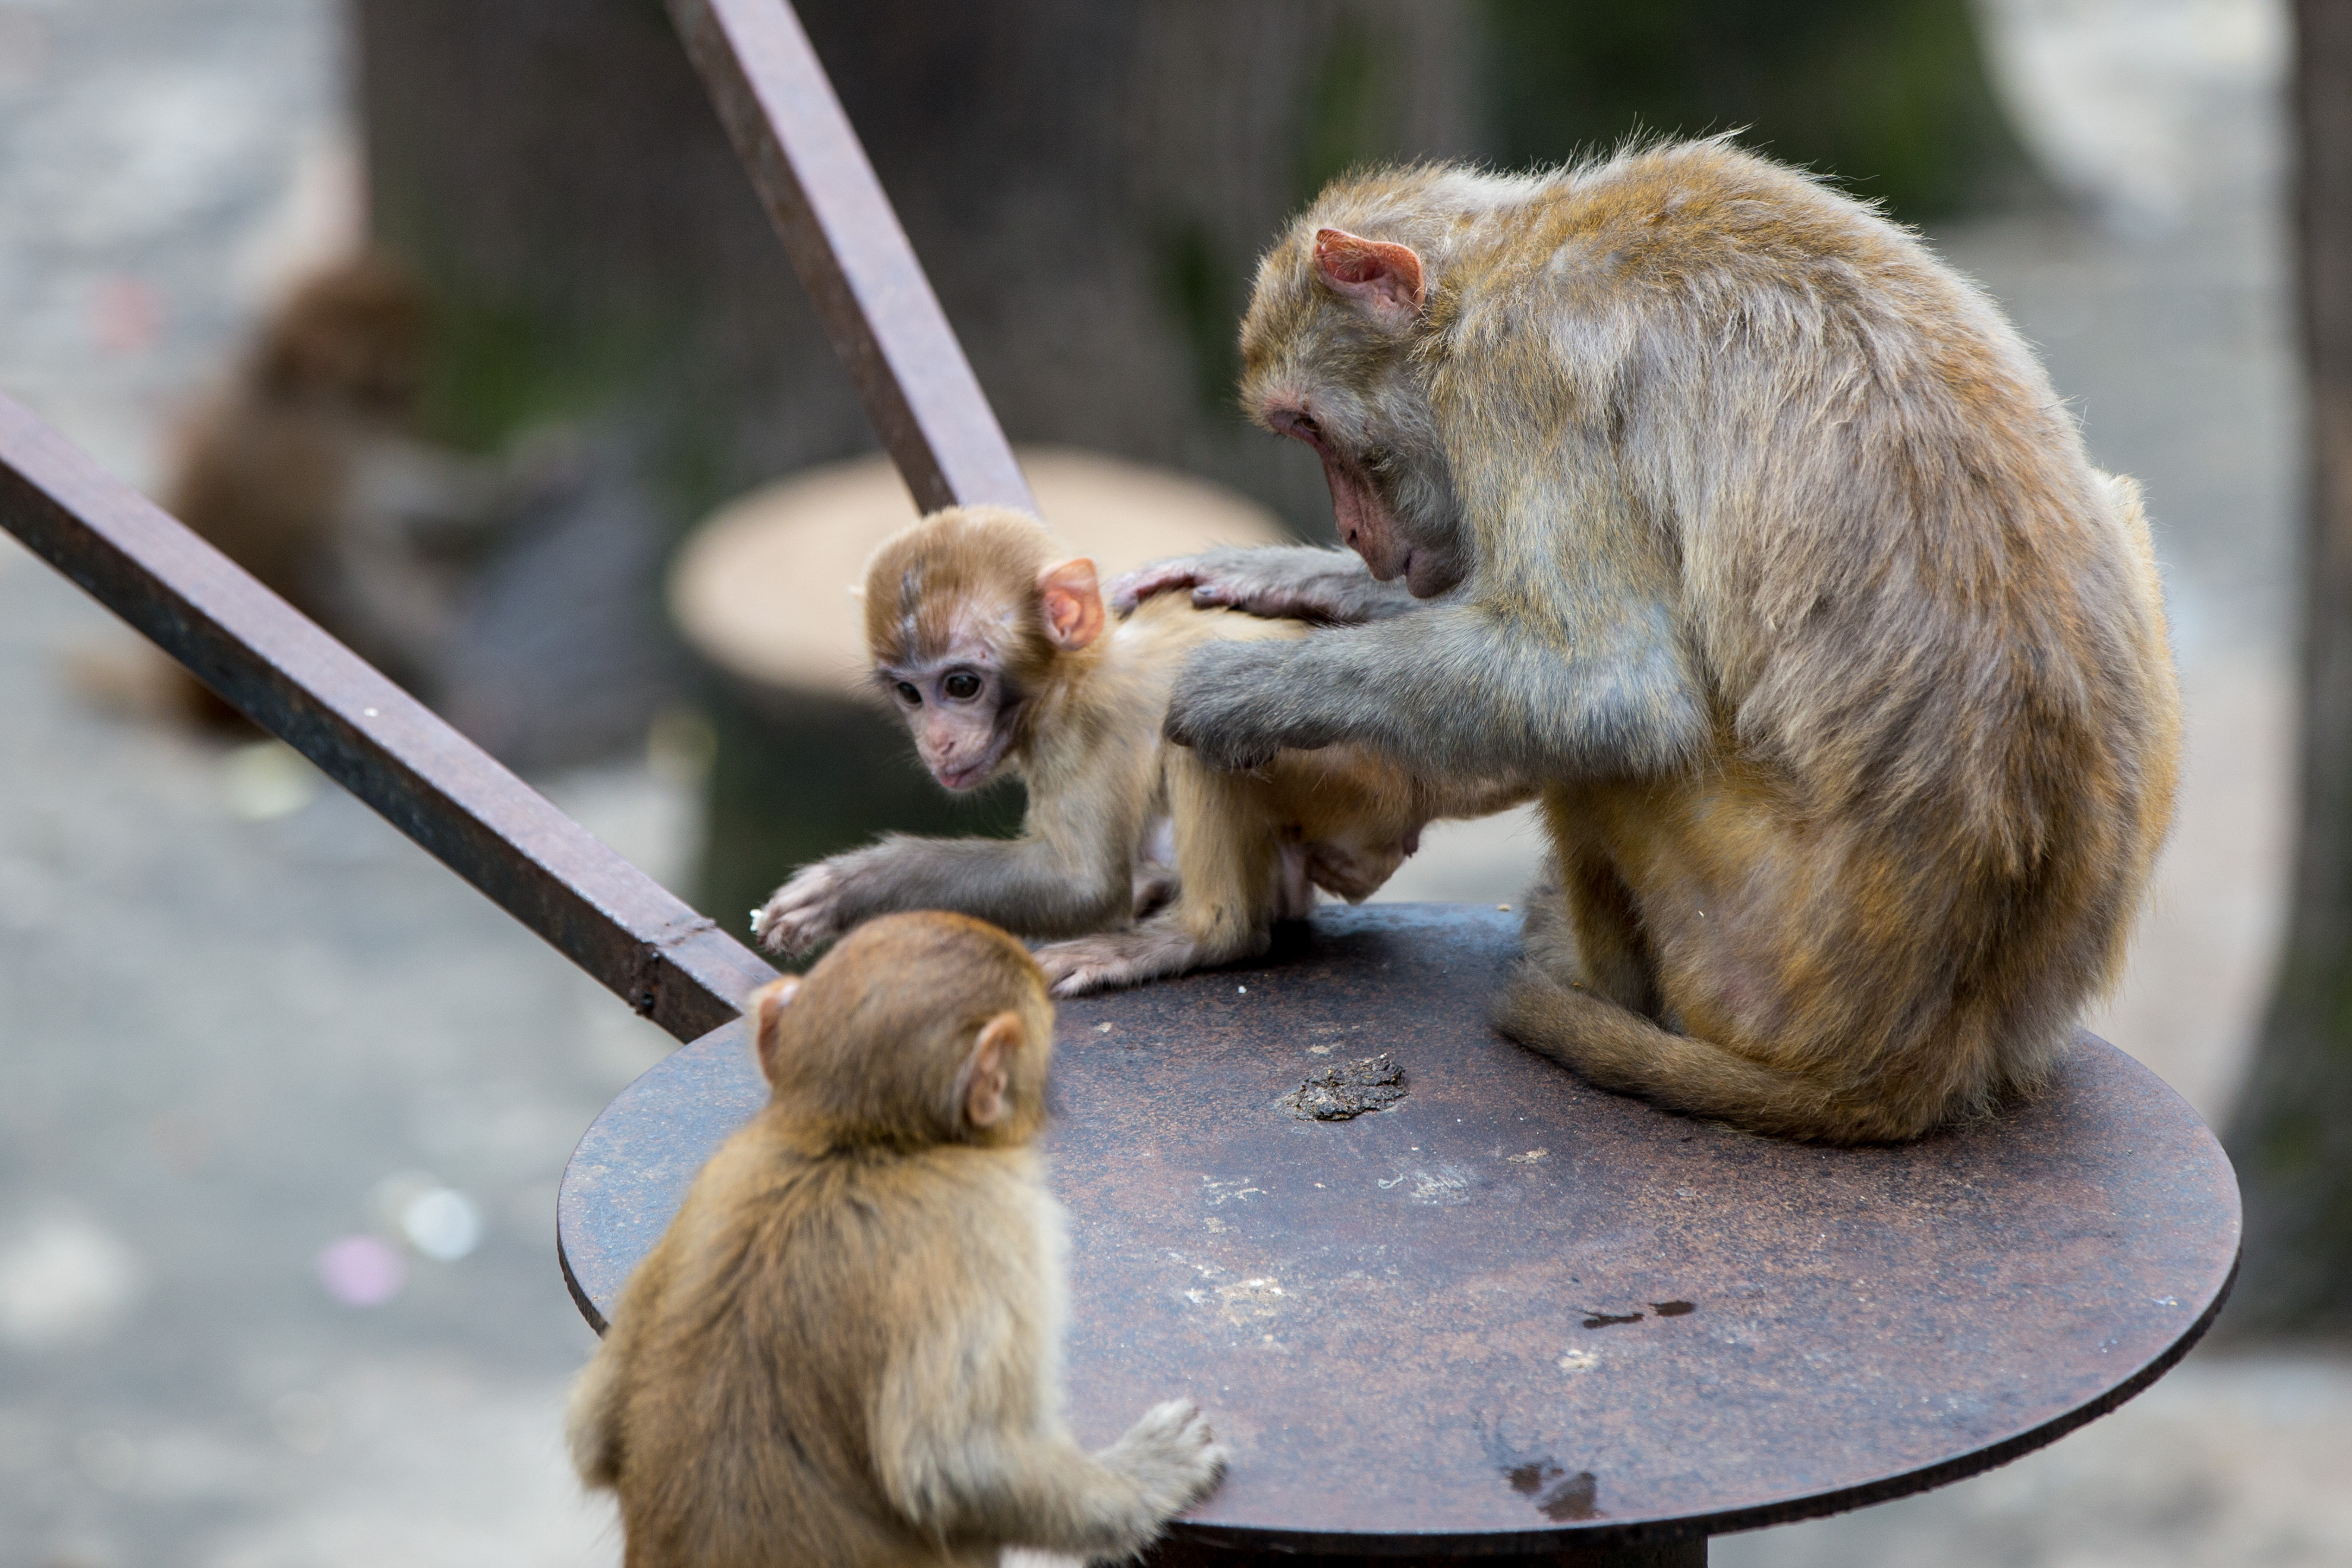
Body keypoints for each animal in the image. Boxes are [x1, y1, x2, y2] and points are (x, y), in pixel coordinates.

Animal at [569, 912, 1232, 1561]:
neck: (855, 1143)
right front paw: (1150, 1472)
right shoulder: (989, 1219)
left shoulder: (721, 1173)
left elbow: (593, 1432)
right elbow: (948, 1469)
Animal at [748, 503, 1524, 992]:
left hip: (1361, 780)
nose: (937, 740)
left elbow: (1082, 883)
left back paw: (1202, 935)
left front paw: (852, 886)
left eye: (961, 684)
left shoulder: (1085, 728)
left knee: (1201, 728)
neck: (1074, 672)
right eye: (910, 694)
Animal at [1119, 141, 2183, 1147]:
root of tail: (1934, 1054)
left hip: (1750, 957)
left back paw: (1591, 985)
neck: (1492, 273)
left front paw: (1237, 687)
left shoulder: (1520, 378)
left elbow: (1609, 689)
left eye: (1309, 425)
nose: (1348, 530)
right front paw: (1295, 578)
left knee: (1604, 760)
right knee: (2122, 504)